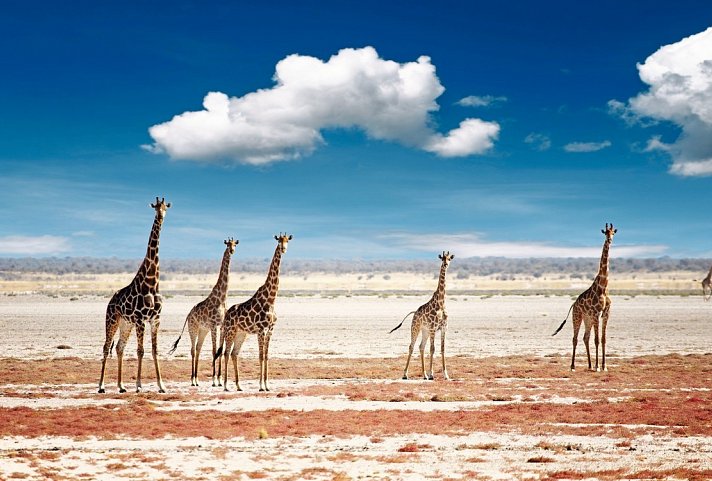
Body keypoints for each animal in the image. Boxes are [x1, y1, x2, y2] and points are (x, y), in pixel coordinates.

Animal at [98, 197, 171, 392]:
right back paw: (101, 386)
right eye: (155, 207)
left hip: (126, 324)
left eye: (165, 207)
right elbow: (141, 351)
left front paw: (161, 385)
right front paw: (138, 385)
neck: (152, 283)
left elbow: (154, 350)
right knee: (106, 347)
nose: (160, 216)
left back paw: (121, 386)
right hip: (112, 319)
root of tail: (110, 301)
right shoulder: (140, 319)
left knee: (119, 347)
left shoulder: (155, 319)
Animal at [169, 237, 239, 386]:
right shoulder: (213, 325)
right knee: (192, 350)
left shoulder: (222, 326)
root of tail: (188, 315)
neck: (222, 298)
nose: (232, 250)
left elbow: (220, 350)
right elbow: (214, 350)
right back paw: (193, 379)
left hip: (203, 330)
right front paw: (213, 380)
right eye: (228, 245)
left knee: (198, 349)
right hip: (193, 328)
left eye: (235, 244)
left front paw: (219, 379)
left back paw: (196, 379)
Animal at [217, 234, 294, 392]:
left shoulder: (270, 330)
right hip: (230, 331)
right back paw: (226, 385)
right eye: (279, 240)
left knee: (234, 353)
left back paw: (239, 385)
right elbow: (260, 356)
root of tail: (226, 315)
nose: (284, 249)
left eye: (287, 240)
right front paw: (261, 386)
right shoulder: (261, 330)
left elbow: (266, 356)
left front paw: (267, 385)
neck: (271, 299)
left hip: (241, 333)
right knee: (226, 353)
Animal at [552, 222, 616, 372]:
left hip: (587, 319)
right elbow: (597, 340)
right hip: (578, 316)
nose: (610, 240)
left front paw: (604, 366)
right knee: (575, 339)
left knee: (585, 337)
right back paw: (573, 366)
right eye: (605, 232)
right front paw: (598, 367)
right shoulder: (596, 313)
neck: (603, 287)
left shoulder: (606, 313)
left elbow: (603, 339)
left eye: (613, 233)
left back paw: (589, 365)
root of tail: (574, 304)